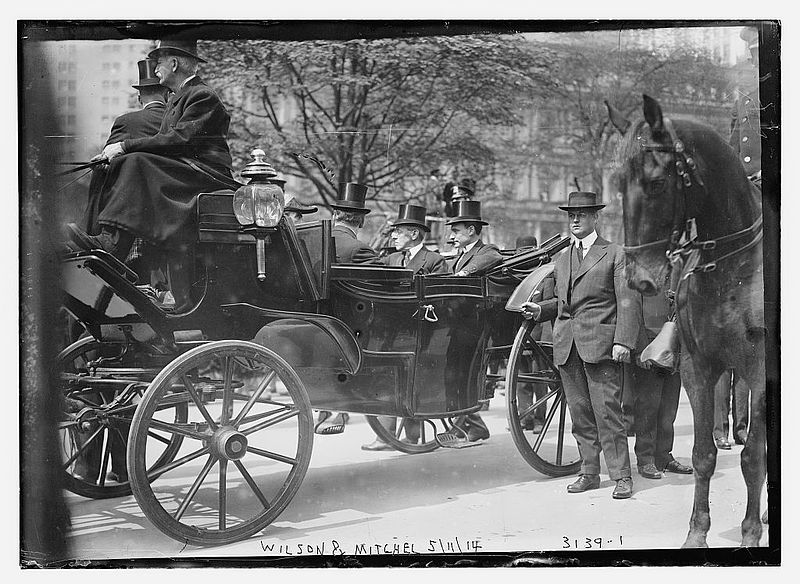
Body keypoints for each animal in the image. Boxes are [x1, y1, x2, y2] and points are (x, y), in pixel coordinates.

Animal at [608, 94, 768, 548]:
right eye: (618, 185)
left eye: (657, 183)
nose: (638, 278)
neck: (731, 267)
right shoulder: (699, 368)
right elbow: (702, 455)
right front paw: (696, 533)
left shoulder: (761, 371)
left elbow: (754, 457)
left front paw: (750, 534)